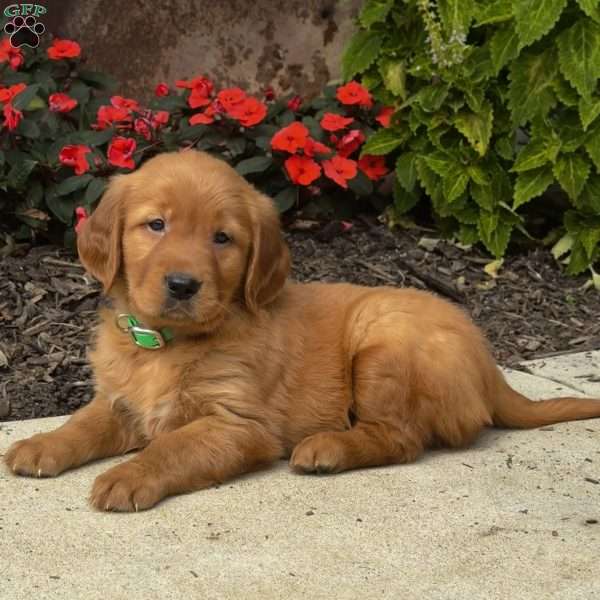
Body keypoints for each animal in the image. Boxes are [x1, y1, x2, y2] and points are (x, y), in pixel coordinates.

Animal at [4, 150, 600, 510]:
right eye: (156, 224)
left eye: (222, 238)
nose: (183, 284)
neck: (163, 346)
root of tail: (490, 364)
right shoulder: (122, 402)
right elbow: (83, 423)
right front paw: (40, 444)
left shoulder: (239, 425)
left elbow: (172, 446)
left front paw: (127, 476)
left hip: (381, 344)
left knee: (402, 439)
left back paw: (327, 448)